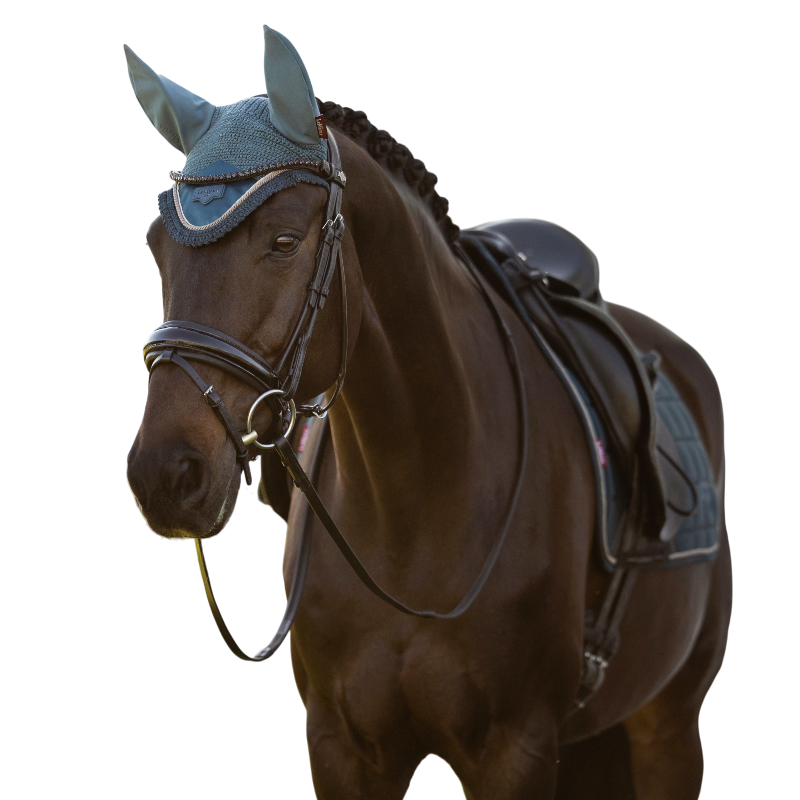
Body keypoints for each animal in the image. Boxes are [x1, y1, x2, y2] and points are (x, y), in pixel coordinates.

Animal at [125, 40, 731, 798]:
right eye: (157, 246)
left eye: (284, 242)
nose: (163, 473)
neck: (414, 512)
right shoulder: (343, 750)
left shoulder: (516, 752)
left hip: (666, 729)